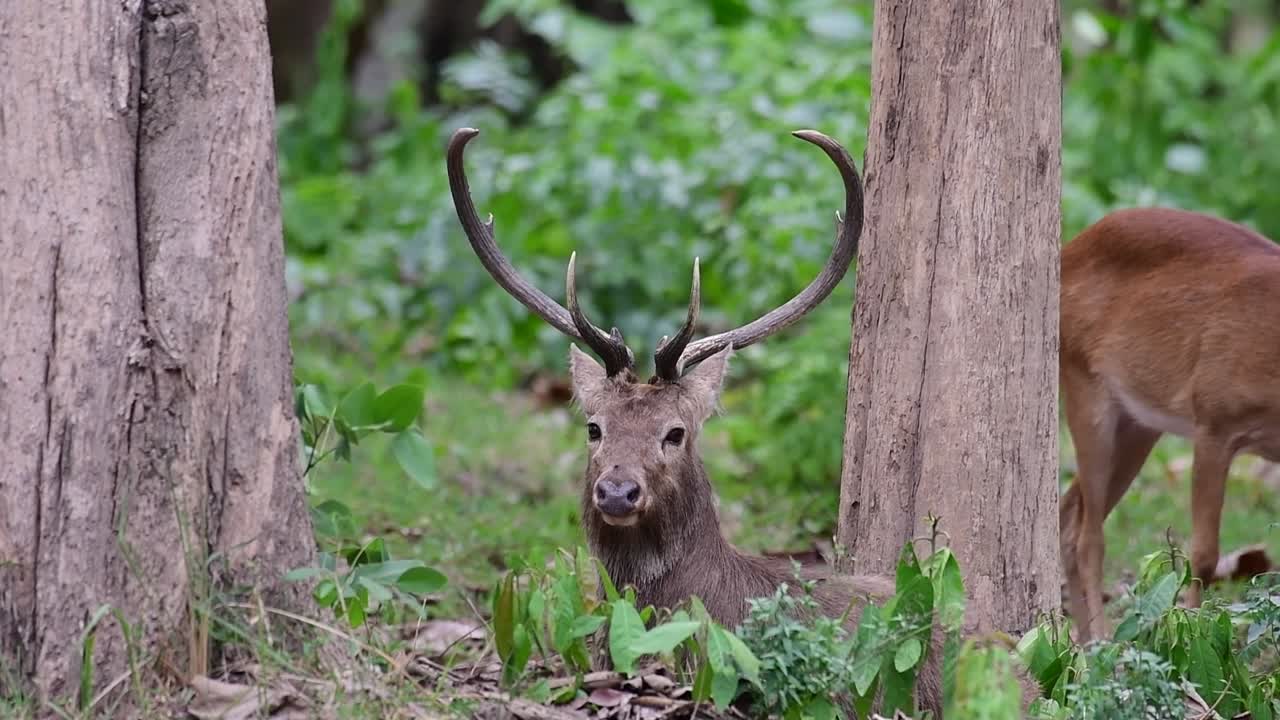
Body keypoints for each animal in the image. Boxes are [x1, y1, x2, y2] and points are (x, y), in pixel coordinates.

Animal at [1059, 206, 1280, 643]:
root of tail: (1066, 253)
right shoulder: (1215, 421)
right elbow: (1204, 555)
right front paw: (1195, 640)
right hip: (1084, 385)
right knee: (1086, 537)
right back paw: (1101, 644)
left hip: (1139, 423)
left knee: (1067, 513)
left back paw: (1081, 641)